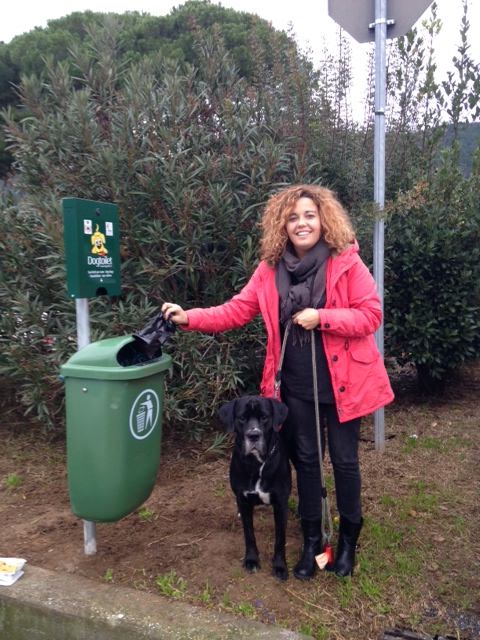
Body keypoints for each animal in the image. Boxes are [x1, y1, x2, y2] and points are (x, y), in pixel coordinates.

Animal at [219, 396, 290, 580]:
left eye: (264, 417)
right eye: (242, 418)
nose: (253, 435)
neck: (257, 463)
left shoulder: (280, 504)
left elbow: (280, 539)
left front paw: (280, 566)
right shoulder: (243, 500)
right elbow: (249, 533)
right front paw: (251, 560)